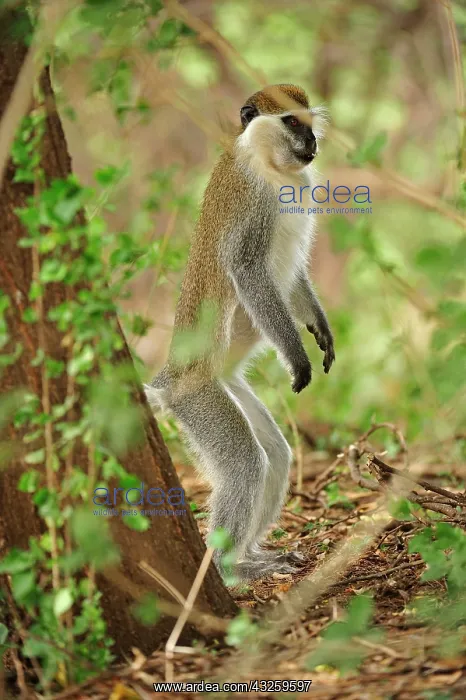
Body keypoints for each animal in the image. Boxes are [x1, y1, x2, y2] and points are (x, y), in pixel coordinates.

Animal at [146, 84, 335, 581]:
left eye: (310, 122)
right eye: (291, 122)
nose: (312, 142)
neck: (269, 166)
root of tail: (173, 377)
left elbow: (294, 277)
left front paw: (319, 329)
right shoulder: (251, 206)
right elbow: (249, 272)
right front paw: (297, 355)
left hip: (228, 387)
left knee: (275, 455)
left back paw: (252, 555)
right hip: (200, 399)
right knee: (246, 464)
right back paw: (232, 569)